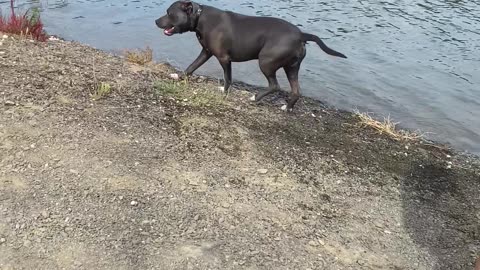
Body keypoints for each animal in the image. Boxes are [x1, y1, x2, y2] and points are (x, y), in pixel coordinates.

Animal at [156, 0, 346, 111]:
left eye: (169, 13)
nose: (156, 21)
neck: (199, 17)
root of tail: (301, 34)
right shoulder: (206, 52)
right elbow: (191, 67)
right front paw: (179, 77)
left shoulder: (224, 58)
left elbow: (228, 77)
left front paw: (225, 92)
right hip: (291, 67)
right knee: (296, 90)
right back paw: (287, 108)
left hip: (266, 62)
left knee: (275, 85)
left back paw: (255, 98)